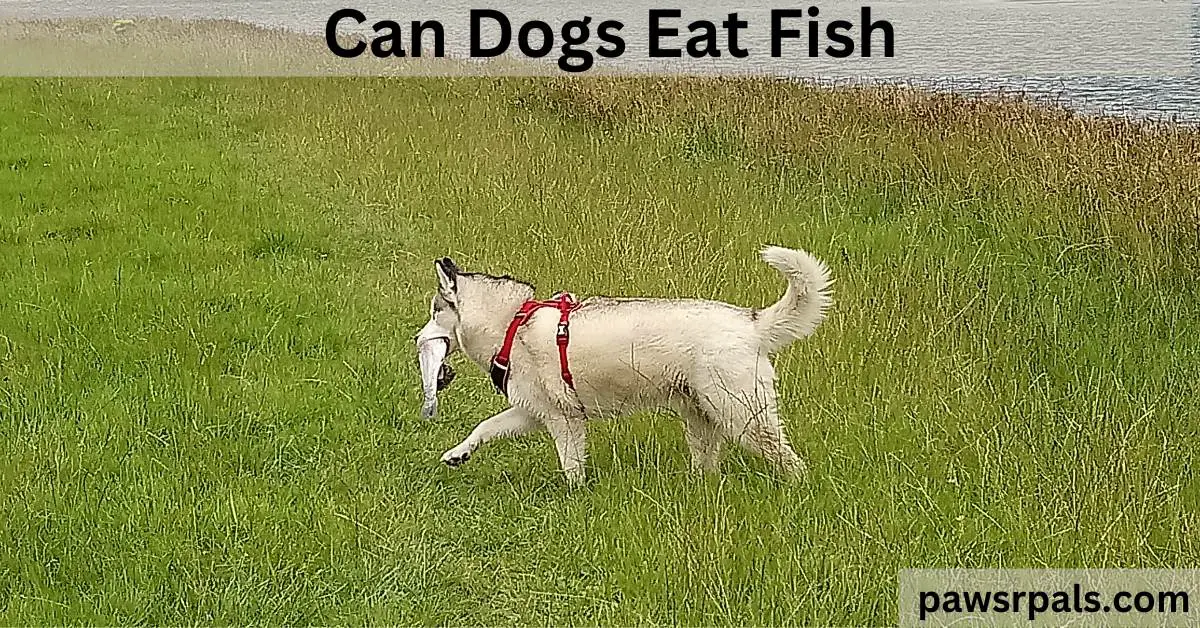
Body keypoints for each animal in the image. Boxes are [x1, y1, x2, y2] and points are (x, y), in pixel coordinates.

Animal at [417, 246, 830, 487]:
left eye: (434, 311)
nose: (415, 338)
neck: (512, 324)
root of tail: (752, 322)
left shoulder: (565, 421)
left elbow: (571, 467)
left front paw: (575, 497)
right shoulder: (533, 412)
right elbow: (484, 427)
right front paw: (459, 453)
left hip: (743, 416)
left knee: (789, 460)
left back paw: (798, 490)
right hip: (701, 416)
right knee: (708, 464)